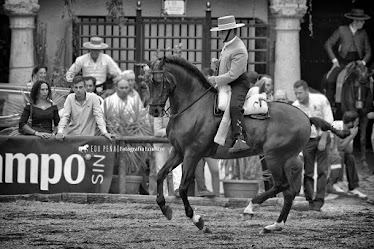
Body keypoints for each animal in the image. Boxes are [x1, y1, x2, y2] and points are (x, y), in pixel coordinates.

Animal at [148, 55, 350, 232]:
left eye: (158, 81)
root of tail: (307, 118)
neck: (192, 105)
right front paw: (165, 209)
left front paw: (198, 221)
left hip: (274, 156)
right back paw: (274, 226)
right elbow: (160, 175)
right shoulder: (178, 152)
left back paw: (250, 208)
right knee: (289, 192)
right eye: (147, 82)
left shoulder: (193, 153)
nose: (154, 111)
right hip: (287, 159)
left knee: (281, 186)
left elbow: (183, 188)